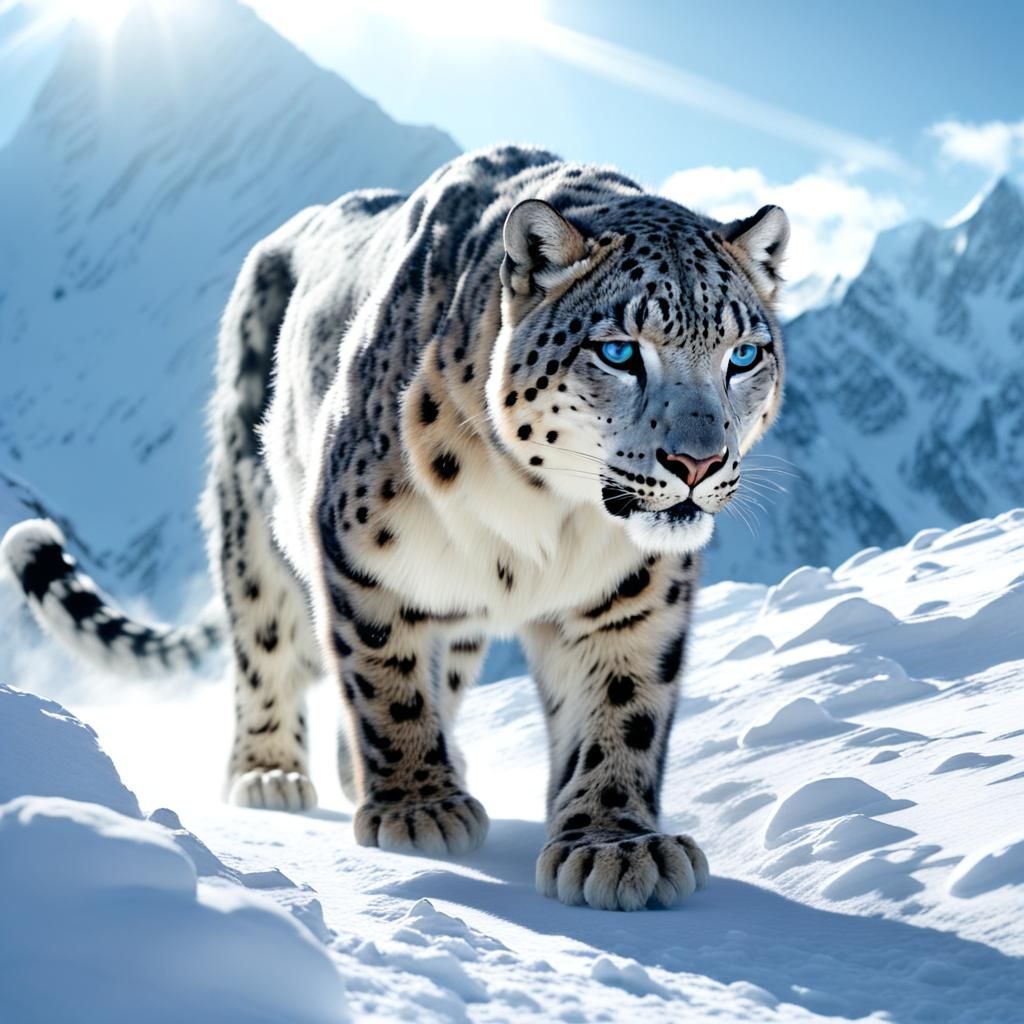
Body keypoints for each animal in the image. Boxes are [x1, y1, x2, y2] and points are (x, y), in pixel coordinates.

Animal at [2, 145, 789, 911]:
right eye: (621, 351)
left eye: (743, 354)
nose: (697, 462)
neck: (548, 517)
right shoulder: (363, 552)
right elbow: (386, 676)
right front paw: (419, 808)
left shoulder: (635, 595)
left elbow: (623, 707)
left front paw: (615, 846)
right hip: (251, 511)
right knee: (264, 636)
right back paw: (271, 771)